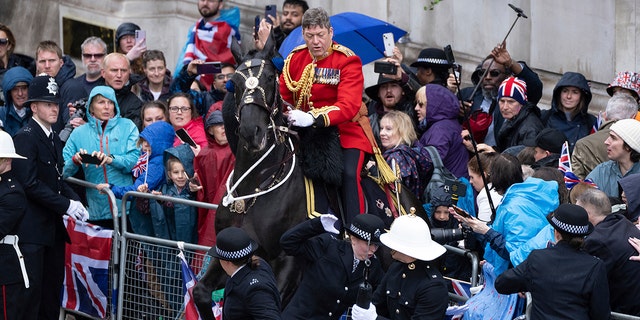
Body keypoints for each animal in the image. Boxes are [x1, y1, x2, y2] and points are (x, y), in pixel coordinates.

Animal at [192, 36, 428, 318]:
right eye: (235, 83)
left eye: (270, 78)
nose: (252, 132)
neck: (257, 187)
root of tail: (411, 204)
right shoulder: (230, 253)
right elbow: (200, 291)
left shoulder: (289, 262)